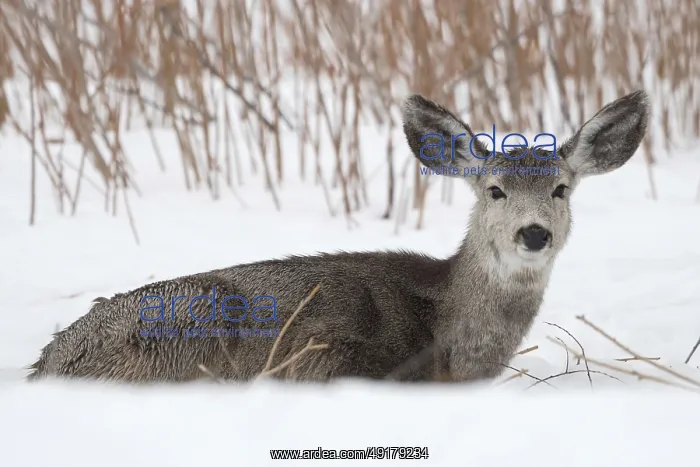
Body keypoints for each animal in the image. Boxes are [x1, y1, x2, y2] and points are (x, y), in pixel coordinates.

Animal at [27, 90, 649, 383]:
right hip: (188, 327)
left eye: (561, 189)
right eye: (494, 190)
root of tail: (49, 361)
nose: (534, 233)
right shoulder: (327, 362)